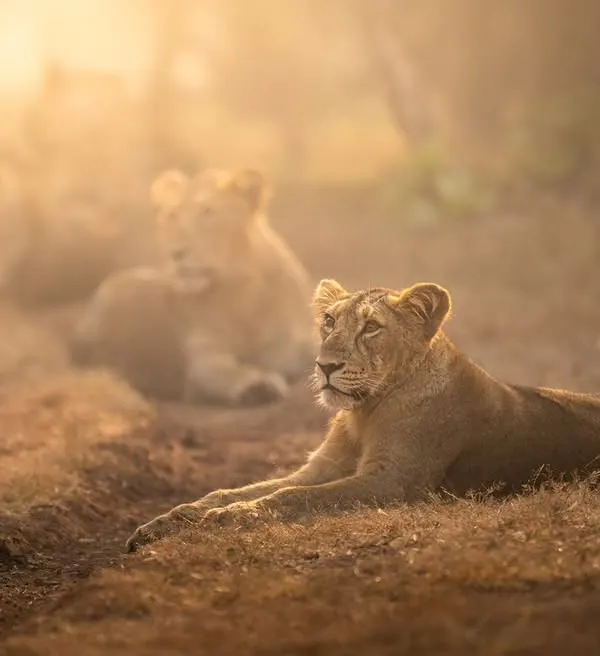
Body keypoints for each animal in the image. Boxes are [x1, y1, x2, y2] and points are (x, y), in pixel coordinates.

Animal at [71, 168, 316, 405]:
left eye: (207, 212)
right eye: (172, 215)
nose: (176, 253)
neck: (241, 296)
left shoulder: (298, 339)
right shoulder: (203, 356)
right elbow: (226, 371)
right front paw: (257, 385)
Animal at [126, 277, 600, 552]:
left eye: (371, 327)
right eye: (329, 321)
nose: (325, 366)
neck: (364, 412)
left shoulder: (392, 481)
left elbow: (291, 497)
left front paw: (229, 518)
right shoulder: (321, 467)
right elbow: (230, 490)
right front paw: (168, 521)